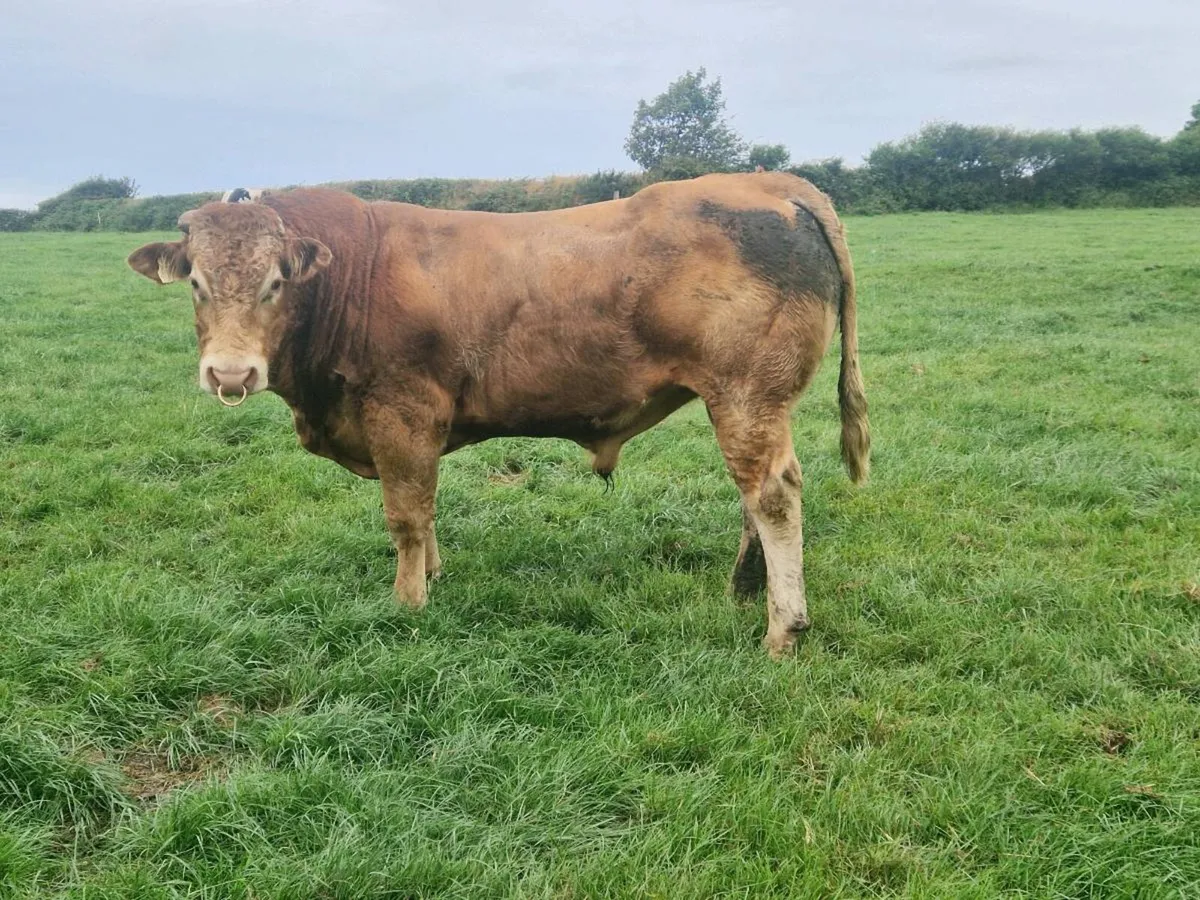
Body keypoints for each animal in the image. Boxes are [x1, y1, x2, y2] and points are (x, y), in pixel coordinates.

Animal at [127, 172, 869, 657]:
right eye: (196, 283)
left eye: (275, 283)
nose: (230, 374)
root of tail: (773, 184)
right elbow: (426, 510)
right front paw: (431, 573)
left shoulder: (402, 412)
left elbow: (405, 514)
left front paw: (408, 602)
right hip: (749, 402)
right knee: (756, 493)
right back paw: (745, 587)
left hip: (746, 394)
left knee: (772, 495)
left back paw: (782, 626)